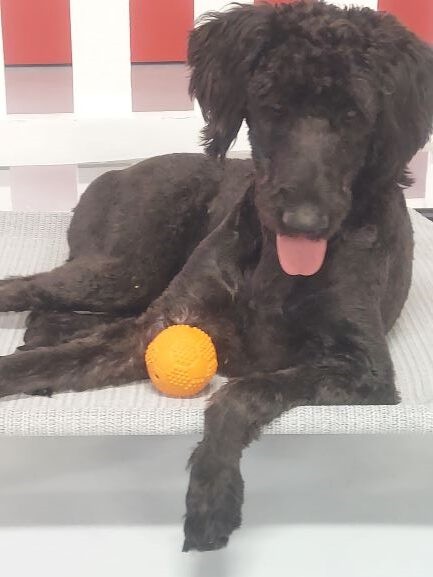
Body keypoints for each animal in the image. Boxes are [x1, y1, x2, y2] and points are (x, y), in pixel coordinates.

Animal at [0, 1, 433, 552]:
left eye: (355, 115)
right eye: (273, 106)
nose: (305, 223)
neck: (274, 267)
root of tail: (115, 171)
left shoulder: (364, 370)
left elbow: (241, 393)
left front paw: (212, 494)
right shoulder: (161, 324)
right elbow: (52, 361)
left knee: (53, 312)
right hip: (124, 270)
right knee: (28, 290)